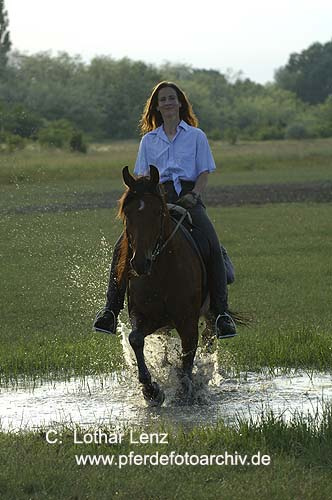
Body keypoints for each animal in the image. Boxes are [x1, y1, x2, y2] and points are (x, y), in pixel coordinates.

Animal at [116, 166, 214, 404]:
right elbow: (135, 339)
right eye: (127, 214)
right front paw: (151, 389)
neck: (162, 273)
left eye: (157, 212)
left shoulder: (187, 322)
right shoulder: (145, 317)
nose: (140, 263)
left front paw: (186, 390)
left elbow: (188, 355)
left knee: (209, 337)